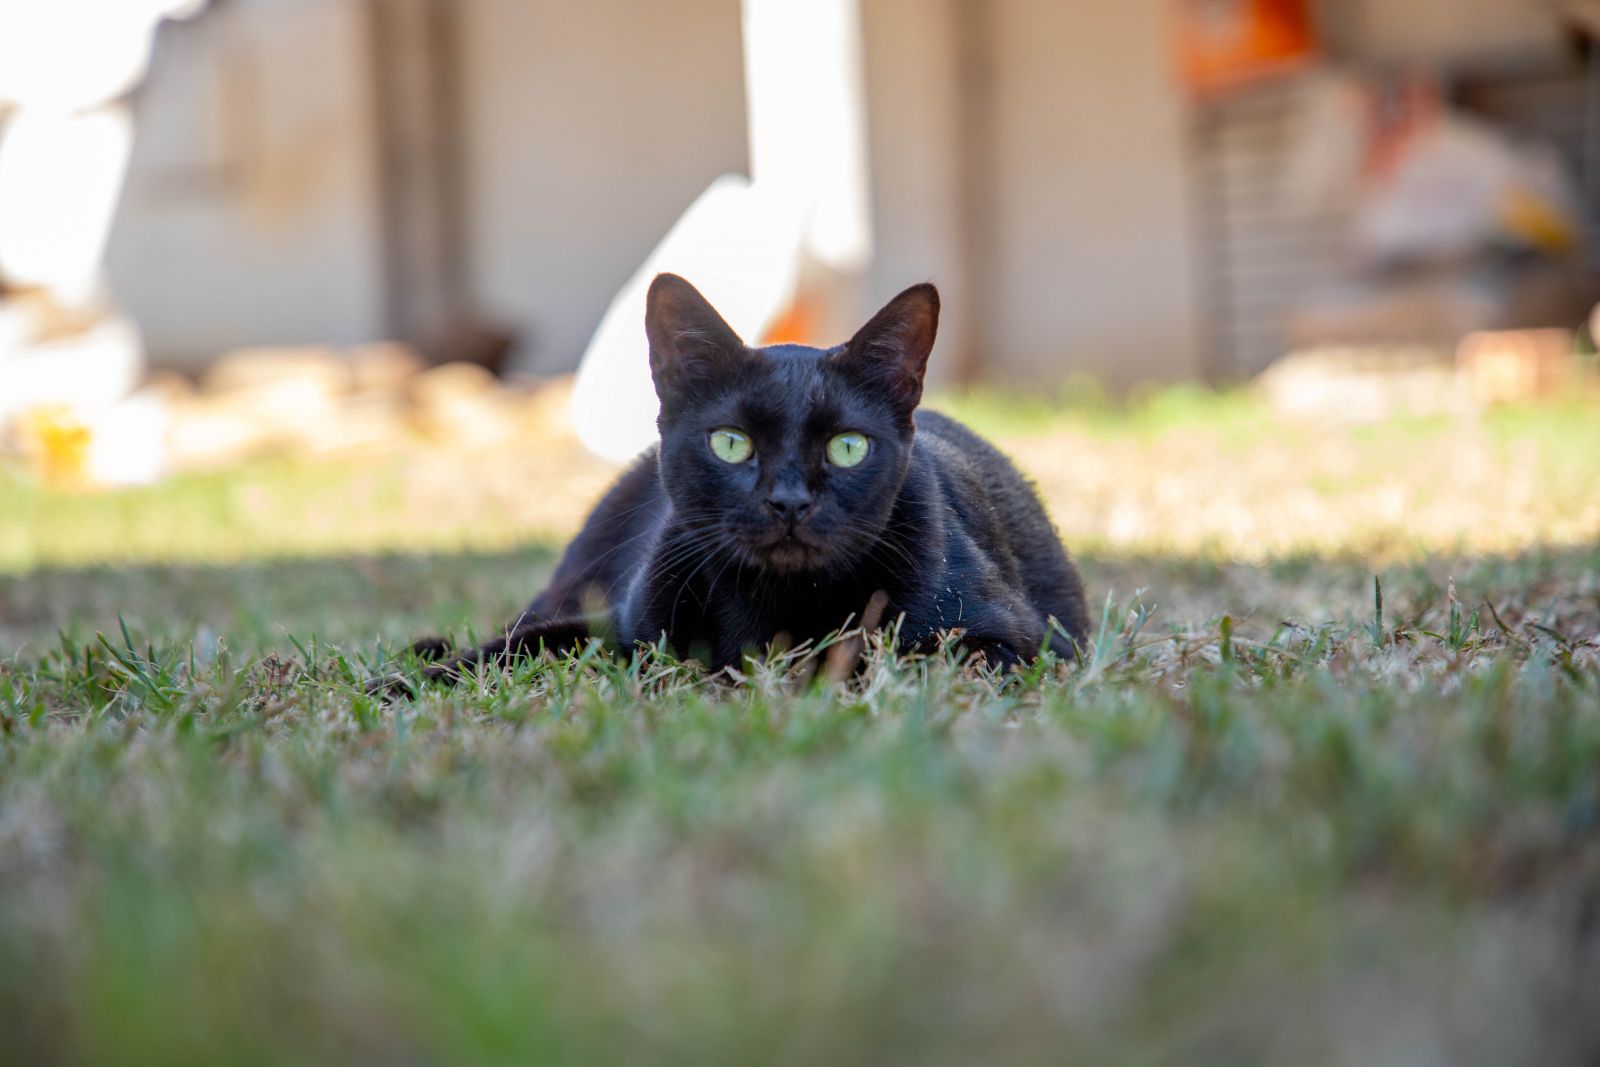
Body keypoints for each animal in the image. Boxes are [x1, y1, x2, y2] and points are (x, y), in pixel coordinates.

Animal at [380, 275, 1088, 694]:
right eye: (731, 443)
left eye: (848, 447)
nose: (789, 501)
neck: (778, 602)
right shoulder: (619, 629)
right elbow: (513, 650)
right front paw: (394, 689)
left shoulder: (1008, 642)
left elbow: (887, 661)